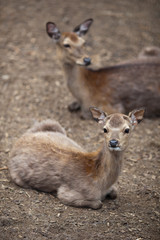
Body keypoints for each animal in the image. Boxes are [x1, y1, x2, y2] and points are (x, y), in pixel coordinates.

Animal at [8, 108, 144, 209]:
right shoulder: (66, 193)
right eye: (105, 129)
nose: (113, 142)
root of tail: (18, 142)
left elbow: (115, 193)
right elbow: (98, 204)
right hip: (17, 177)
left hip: (52, 124)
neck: (101, 183)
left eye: (127, 129)